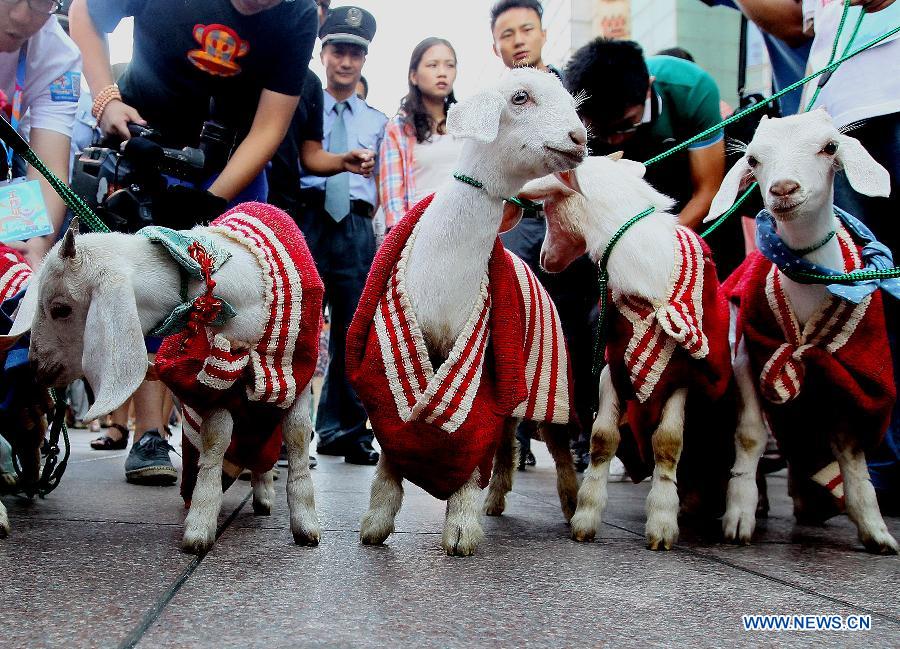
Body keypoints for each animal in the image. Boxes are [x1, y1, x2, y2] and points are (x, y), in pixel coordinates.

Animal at [0, 204, 324, 552]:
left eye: (61, 308)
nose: (35, 367)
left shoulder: (296, 374)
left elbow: (297, 437)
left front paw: (306, 527)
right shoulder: (215, 385)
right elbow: (216, 441)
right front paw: (200, 527)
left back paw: (263, 494)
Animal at [348, 67, 588, 556]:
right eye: (520, 98)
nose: (579, 138)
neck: (445, 273)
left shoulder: (479, 363)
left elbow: (470, 441)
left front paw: (460, 529)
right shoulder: (394, 360)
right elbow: (391, 451)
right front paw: (375, 523)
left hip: (550, 379)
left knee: (554, 446)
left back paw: (571, 505)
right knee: (508, 441)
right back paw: (496, 498)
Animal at [524, 156, 736, 548]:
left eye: (546, 208)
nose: (544, 260)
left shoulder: (684, 373)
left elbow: (668, 442)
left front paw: (663, 524)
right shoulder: (613, 365)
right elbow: (602, 438)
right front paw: (586, 518)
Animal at [708, 109, 896, 556]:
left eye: (830, 147)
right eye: (754, 159)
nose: (783, 189)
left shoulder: (845, 374)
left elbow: (850, 450)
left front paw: (875, 530)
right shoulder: (750, 353)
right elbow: (750, 435)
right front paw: (738, 515)